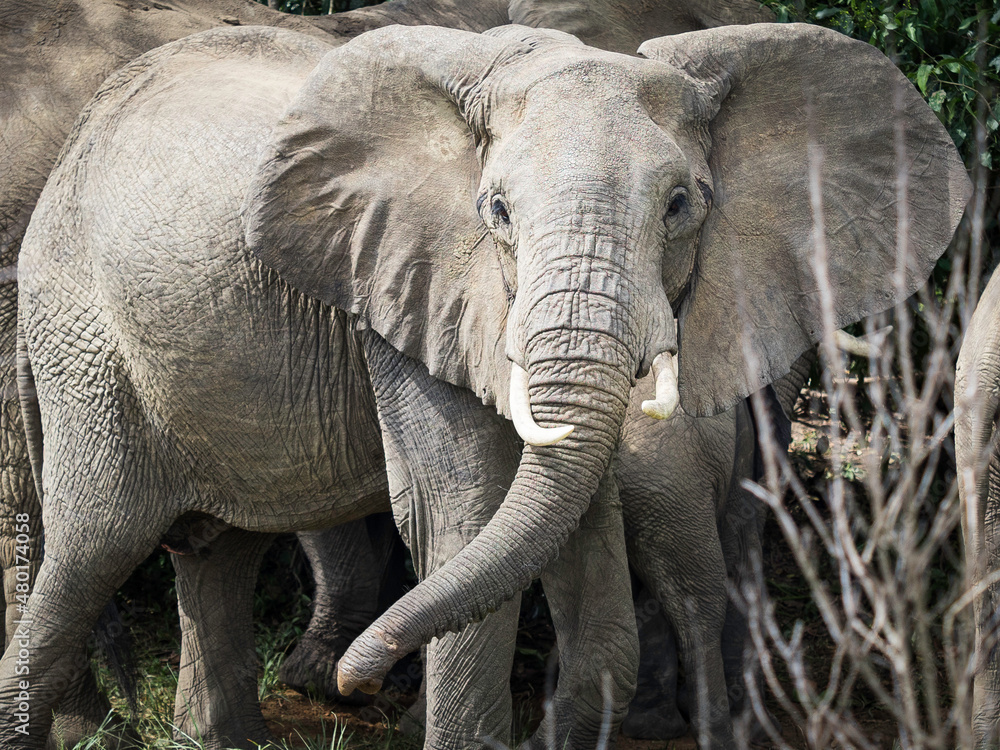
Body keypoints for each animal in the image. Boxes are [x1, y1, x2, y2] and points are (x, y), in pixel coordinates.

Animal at [3, 14, 966, 750]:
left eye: (682, 205)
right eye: (496, 210)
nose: (354, 684)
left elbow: (566, 533)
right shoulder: (399, 282)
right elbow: (463, 513)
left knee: (218, 548)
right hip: (84, 338)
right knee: (95, 542)